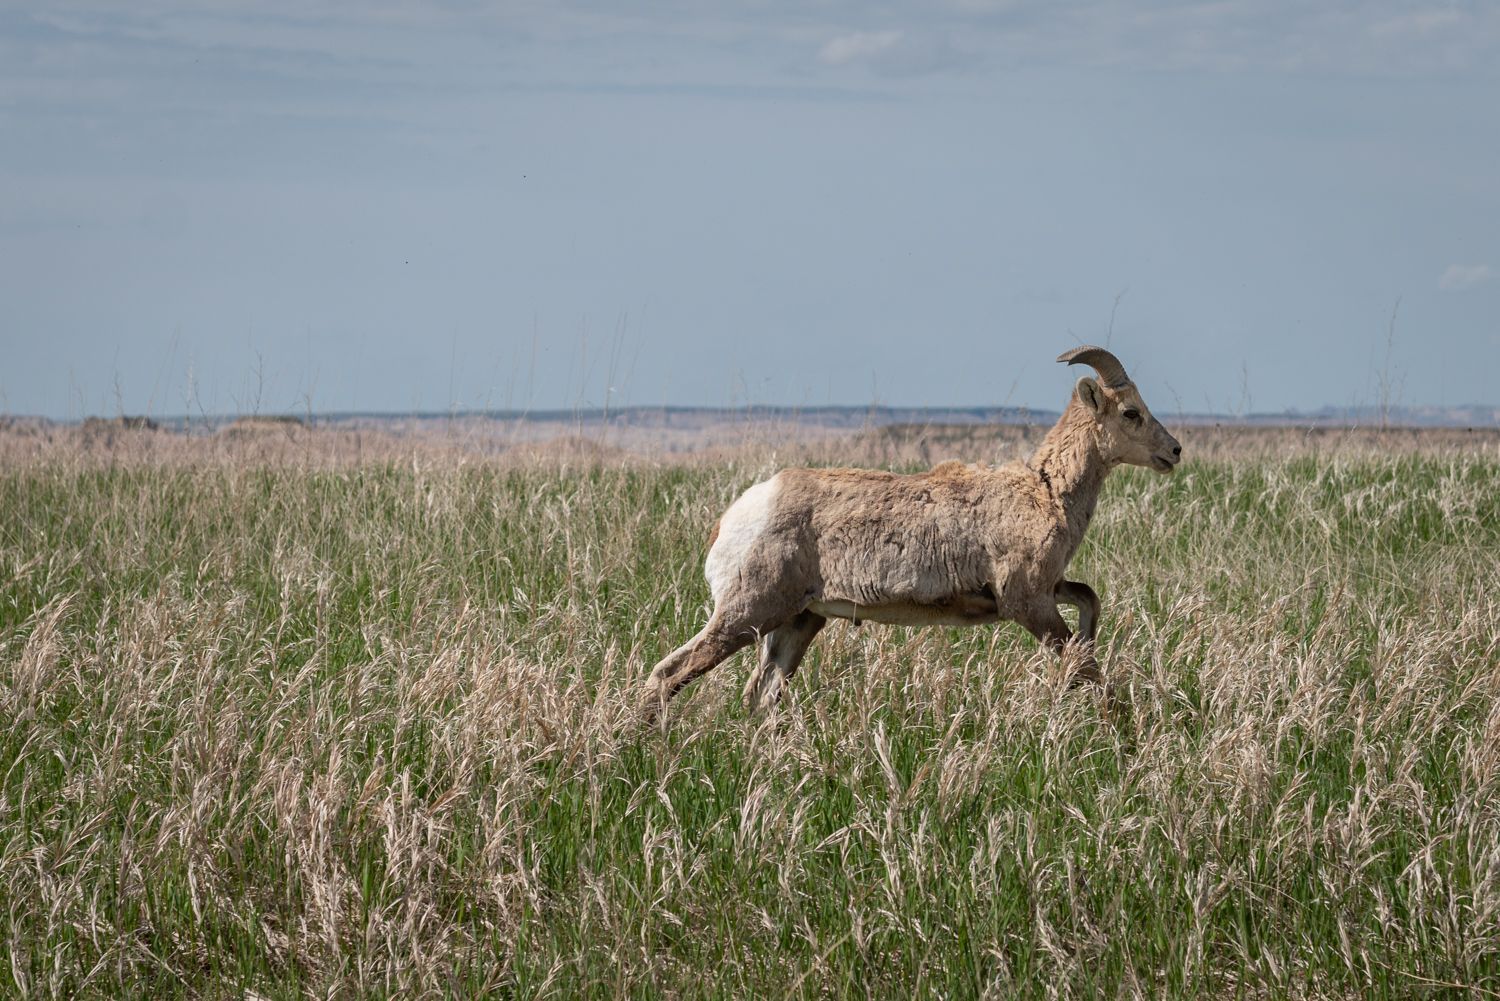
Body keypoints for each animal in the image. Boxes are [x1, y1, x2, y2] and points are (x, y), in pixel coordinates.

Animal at [645, 348, 1182, 723]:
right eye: (1131, 413)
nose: (1174, 451)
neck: (1045, 489)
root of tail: (732, 519)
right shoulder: (1027, 601)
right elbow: (1086, 669)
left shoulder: (1048, 589)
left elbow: (1089, 600)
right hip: (746, 614)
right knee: (668, 674)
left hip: (796, 623)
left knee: (760, 697)